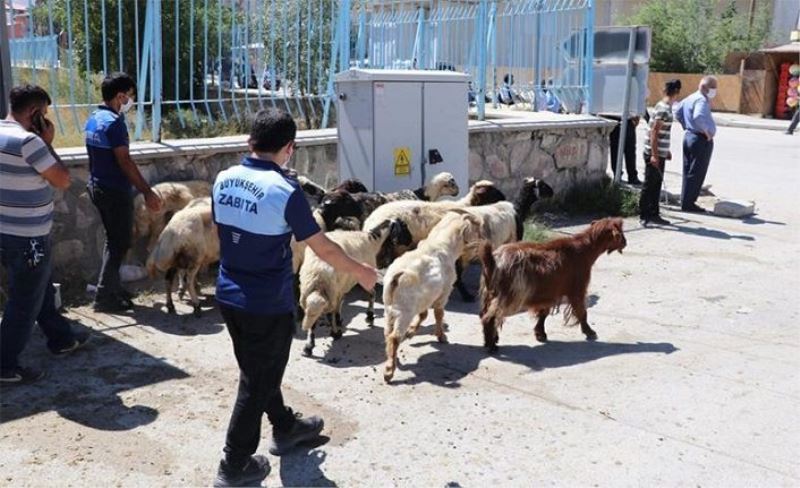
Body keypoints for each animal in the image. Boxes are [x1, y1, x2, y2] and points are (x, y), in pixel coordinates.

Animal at [300, 219, 412, 356]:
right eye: (404, 226)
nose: (410, 241)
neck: (372, 240)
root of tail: (318, 272)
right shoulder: (364, 277)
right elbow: (372, 294)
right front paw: (369, 316)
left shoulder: (344, 285)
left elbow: (341, 303)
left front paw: (339, 319)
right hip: (331, 289)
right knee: (328, 313)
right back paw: (335, 334)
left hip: (311, 289)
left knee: (314, 317)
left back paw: (308, 346)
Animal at [382, 212, 482, 384]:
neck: (441, 244)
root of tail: (397, 276)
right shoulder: (444, 293)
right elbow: (438, 314)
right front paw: (441, 336)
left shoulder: (425, 298)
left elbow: (424, 314)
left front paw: (411, 332)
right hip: (404, 312)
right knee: (394, 337)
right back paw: (389, 372)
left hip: (389, 310)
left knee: (388, 334)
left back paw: (393, 358)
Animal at [478, 217, 628, 350]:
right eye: (620, 232)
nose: (625, 243)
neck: (583, 250)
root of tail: (493, 259)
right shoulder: (577, 288)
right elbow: (582, 312)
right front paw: (589, 331)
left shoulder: (551, 291)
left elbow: (544, 313)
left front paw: (540, 333)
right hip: (508, 294)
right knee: (490, 317)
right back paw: (491, 345)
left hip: (490, 293)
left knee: (485, 314)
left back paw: (490, 340)